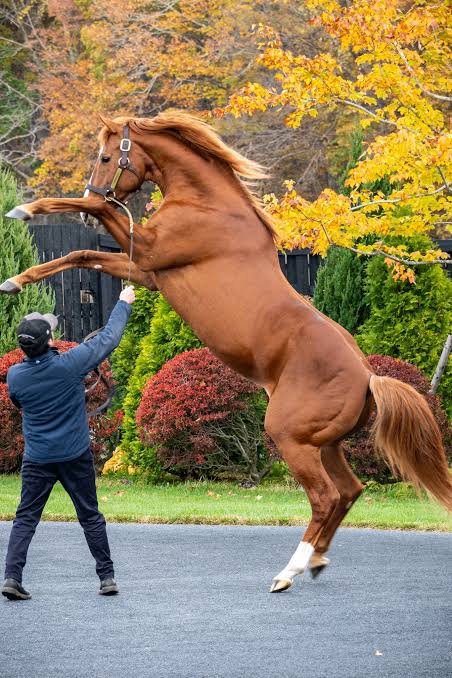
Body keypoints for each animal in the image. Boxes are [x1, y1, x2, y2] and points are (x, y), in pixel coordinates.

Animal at [2, 111, 451, 592]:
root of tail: (369, 377)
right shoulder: (146, 271)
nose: (92, 193)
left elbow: (96, 225)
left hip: (290, 437)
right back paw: (315, 561)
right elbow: (82, 253)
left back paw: (287, 573)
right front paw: (16, 280)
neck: (208, 205)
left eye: (106, 157)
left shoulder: (147, 251)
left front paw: (24, 210)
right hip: (325, 443)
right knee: (350, 491)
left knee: (325, 497)